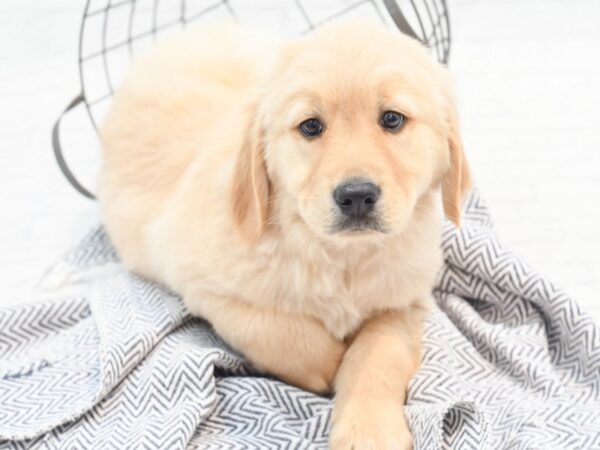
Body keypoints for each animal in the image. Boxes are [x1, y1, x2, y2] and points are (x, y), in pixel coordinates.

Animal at [98, 20, 472, 450]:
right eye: (311, 126)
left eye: (392, 119)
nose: (356, 196)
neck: (339, 256)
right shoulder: (203, 285)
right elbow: (280, 331)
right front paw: (330, 366)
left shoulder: (404, 303)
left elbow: (379, 354)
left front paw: (369, 429)